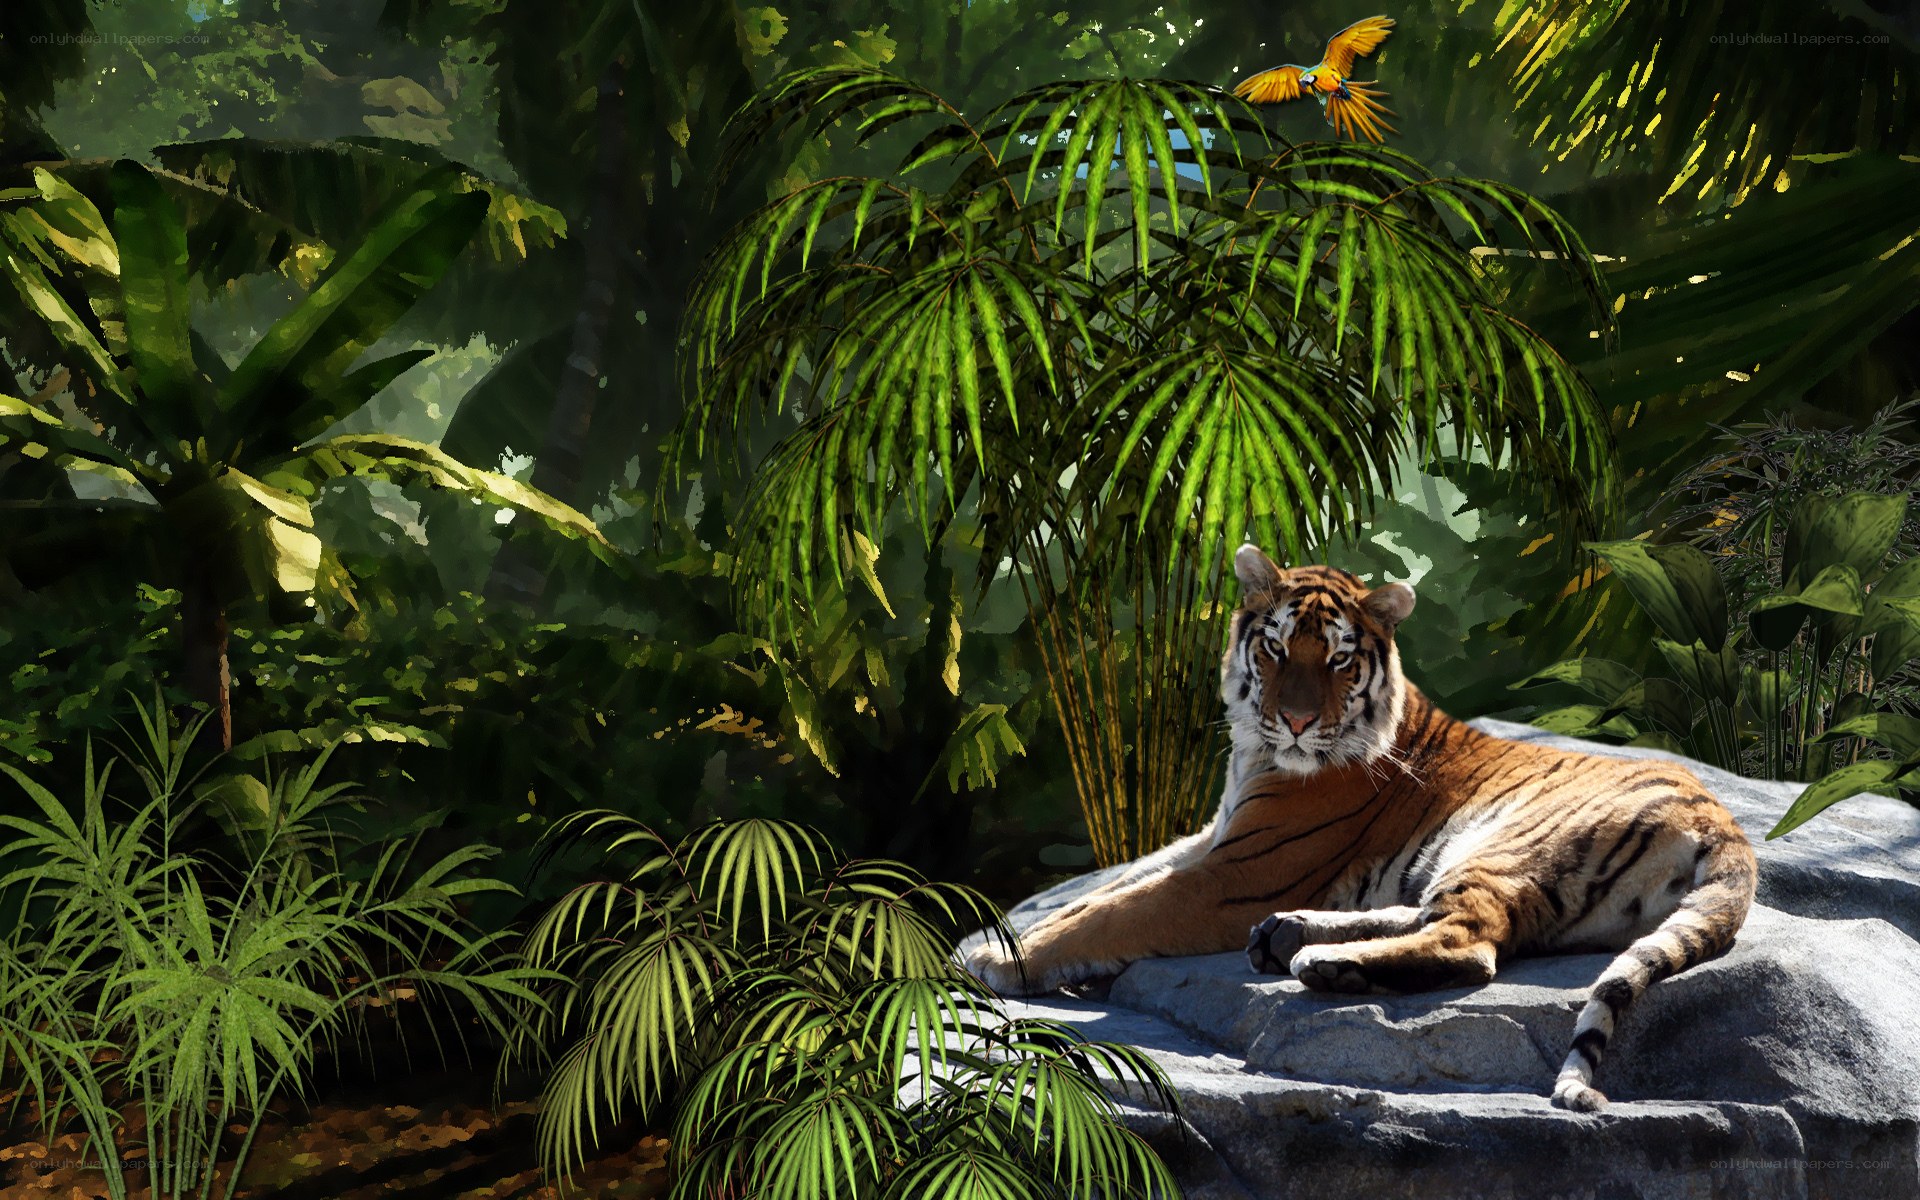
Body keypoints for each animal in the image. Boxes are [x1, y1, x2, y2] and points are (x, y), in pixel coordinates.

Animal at [965, 542, 1758, 1111]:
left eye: (1340, 658)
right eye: (1275, 648)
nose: (1294, 720)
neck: (1255, 752)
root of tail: (1726, 823)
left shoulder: (1237, 871)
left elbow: (1116, 911)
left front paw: (1000, 960)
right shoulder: (1212, 838)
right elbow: (1103, 891)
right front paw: (997, 939)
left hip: (1502, 842)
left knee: (1472, 943)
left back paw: (1321, 961)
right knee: (1438, 917)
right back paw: (1289, 936)